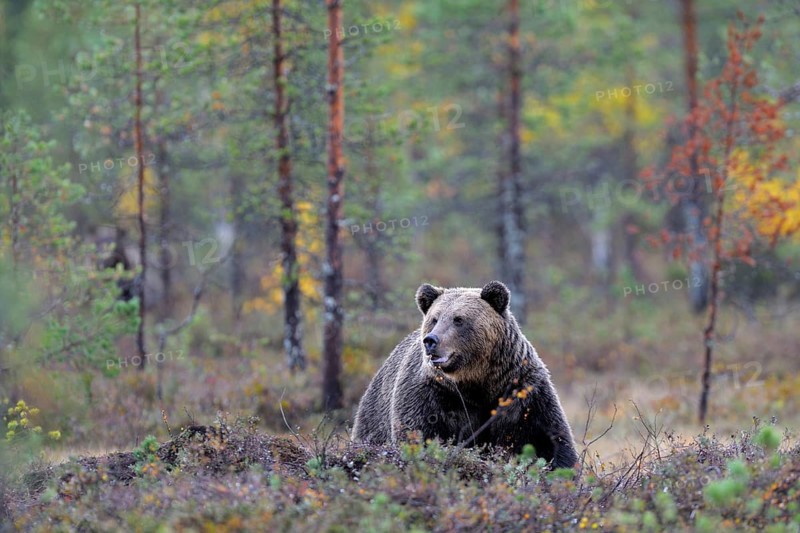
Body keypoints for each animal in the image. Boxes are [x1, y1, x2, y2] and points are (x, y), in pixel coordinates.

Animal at [351, 280, 579, 469]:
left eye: (458, 319)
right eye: (434, 319)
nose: (430, 341)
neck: (476, 383)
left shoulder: (522, 391)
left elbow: (548, 438)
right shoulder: (431, 394)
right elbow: (417, 433)